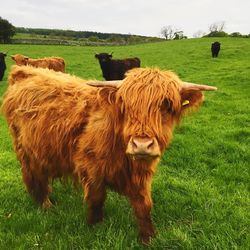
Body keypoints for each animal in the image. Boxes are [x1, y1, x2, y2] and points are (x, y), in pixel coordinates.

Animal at [1, 65, 217, 244]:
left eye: (167, 106)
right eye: (126, 106)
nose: (141, 145)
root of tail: (24, 70)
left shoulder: (141, 174)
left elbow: (144, 205)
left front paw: (148, 237)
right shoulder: (91, 167)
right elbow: (97, 198)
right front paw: (95, 227)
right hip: (24, 148)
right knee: (33, 174)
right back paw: (45, 204)